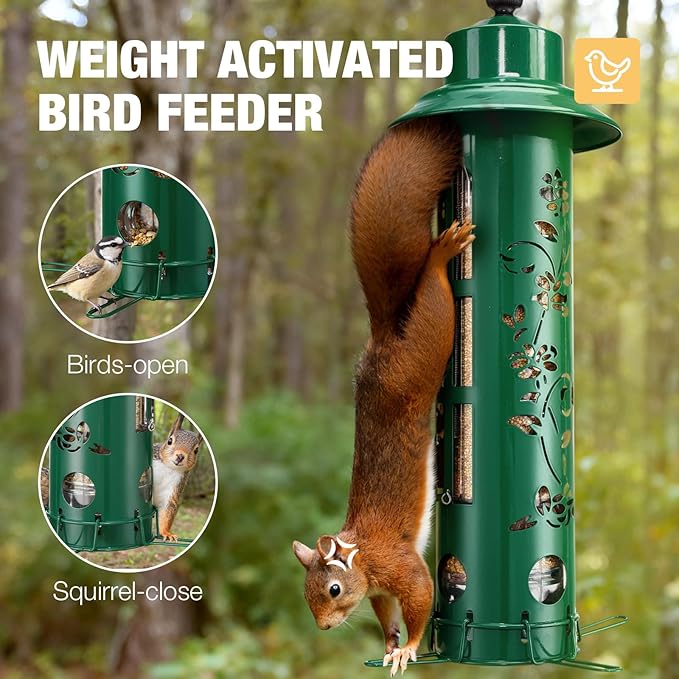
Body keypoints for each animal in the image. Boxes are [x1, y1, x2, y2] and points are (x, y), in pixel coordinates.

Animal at [292, 116, 474, 675]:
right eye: (306, 594)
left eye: (332, 589)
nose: (324, 628)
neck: (364, 556)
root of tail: (384, 339)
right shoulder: (377, 589)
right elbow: (385, 608)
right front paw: (390, 641)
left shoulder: (398, 564)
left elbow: (420, 593)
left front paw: (410, 646)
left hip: (426, 350)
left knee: (435, 298)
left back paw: (440, 256)